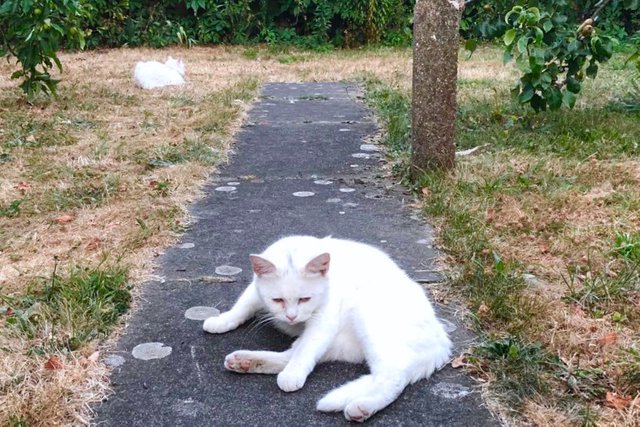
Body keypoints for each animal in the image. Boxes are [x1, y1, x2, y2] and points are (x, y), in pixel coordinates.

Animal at [203, 235, 452, 422]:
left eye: (305, 299)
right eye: (278, 300)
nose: (291, 317)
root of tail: (442, 338)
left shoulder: (324, 321)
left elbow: (306, 351)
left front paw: (293, 375)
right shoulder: (255, 290)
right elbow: (242, 305)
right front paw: (221, 320)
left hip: (369, 320)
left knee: (393, 375)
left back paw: (362, 406)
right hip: (342, 343)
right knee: (294, 354)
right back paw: (246, 361)